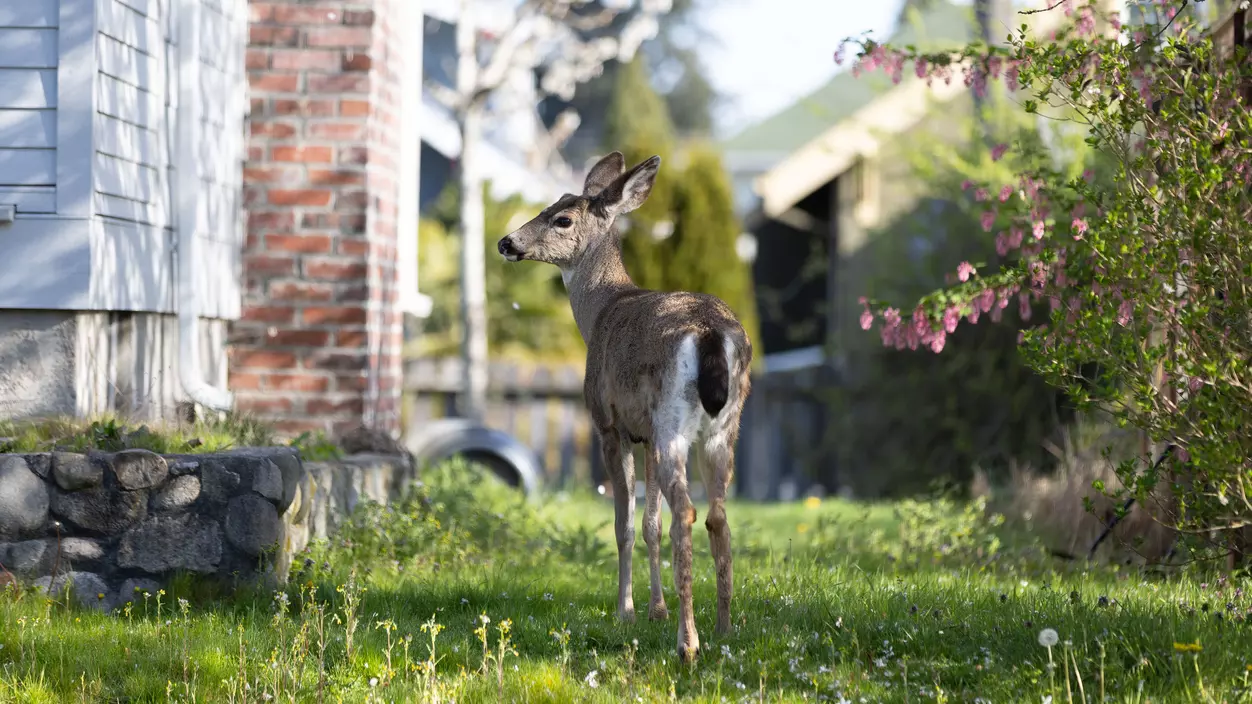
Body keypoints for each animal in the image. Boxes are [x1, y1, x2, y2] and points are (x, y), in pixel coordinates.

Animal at [497, 151, 752, 663]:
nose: (506, 242)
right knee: (716, 515)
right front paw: (656, 609)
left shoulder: (609, 423)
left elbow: (625, 524)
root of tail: (711, 333)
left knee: (686, 512)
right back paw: (724, 629)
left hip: (674, 421)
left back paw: (688, 643)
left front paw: (627, 611)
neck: (601, 309)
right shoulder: (645, 431)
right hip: (723, 427)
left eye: (562, 218)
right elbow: (651, 522)